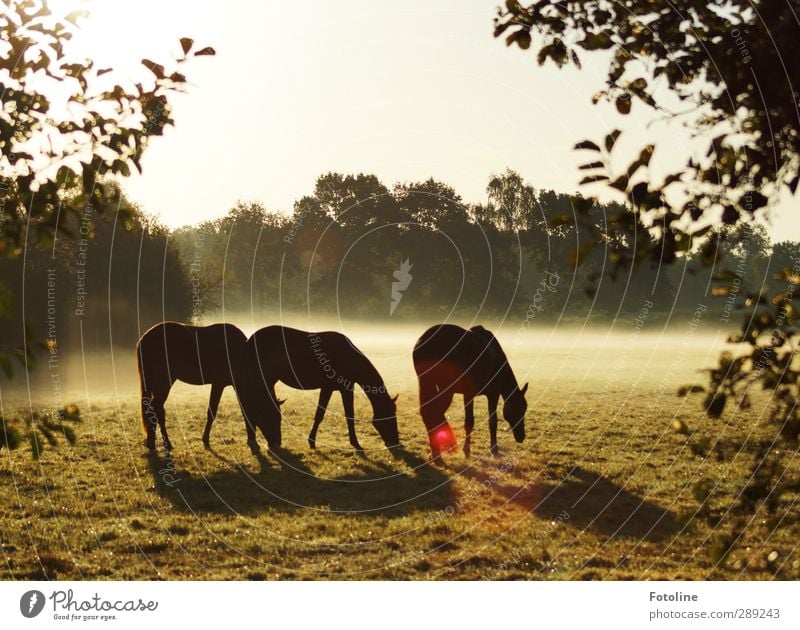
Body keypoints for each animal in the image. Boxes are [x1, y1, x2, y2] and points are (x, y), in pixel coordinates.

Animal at [134, 324, 248, 452]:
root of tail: (143, 339)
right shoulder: (219, 384)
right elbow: (212, 412)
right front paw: (205, 439)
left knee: (157, 410)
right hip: (164, 382)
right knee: (154, 408)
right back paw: (155, 443)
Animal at [234, 326, 404, 454]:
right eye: (389, 416)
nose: (396, 442)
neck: (347, 357)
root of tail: (248, 342)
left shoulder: (330, 388)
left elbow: (320, 415)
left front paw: (312, 441)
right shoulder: (343, 388)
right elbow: (344, 416)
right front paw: (355, 443)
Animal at [412, 326, 532, 460]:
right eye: (519, 409)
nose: (521, 436)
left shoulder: (470, 395)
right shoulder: (487, 395)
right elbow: (486, 422)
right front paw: (485, 449)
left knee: (430, 412)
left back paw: (436, 451)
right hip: (446, 389)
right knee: (433, 412)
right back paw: (437, 452)